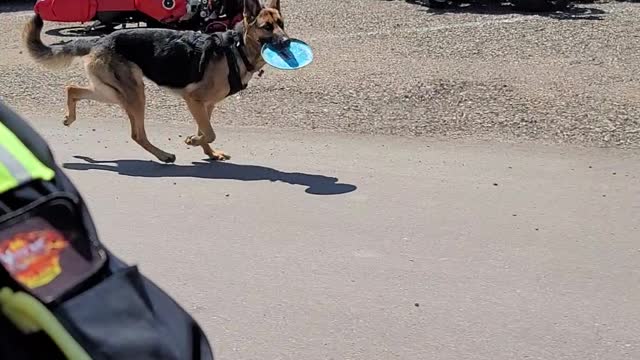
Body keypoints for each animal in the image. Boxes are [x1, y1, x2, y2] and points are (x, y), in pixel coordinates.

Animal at [22, 0, 288, 163]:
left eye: (281, 24)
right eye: (267, 27)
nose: (287, 41)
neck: (237, 48)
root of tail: (100, 39)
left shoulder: (206, 105)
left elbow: (206, 130)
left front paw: (209, 152)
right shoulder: (193, 99)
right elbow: (209, 132)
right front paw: (194, 141)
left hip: (113, 92)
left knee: (73, 89)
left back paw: (69, 117)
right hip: (133, 94)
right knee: (137, 134)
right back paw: (163, 155)